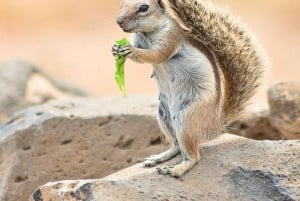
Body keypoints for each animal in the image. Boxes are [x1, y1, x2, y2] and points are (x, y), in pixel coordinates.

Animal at [112, 0, 264, 177]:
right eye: (121, 4)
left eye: (144, 7)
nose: (119, 21)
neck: (146, 33)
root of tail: (215, 124)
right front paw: (116, 49)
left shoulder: (170, 38)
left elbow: (155, 55)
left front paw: (129, 50)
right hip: (164, 116)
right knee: (177, 146)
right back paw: (158, 158)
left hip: (187, 120)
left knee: (193, 156)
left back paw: (175, 169)